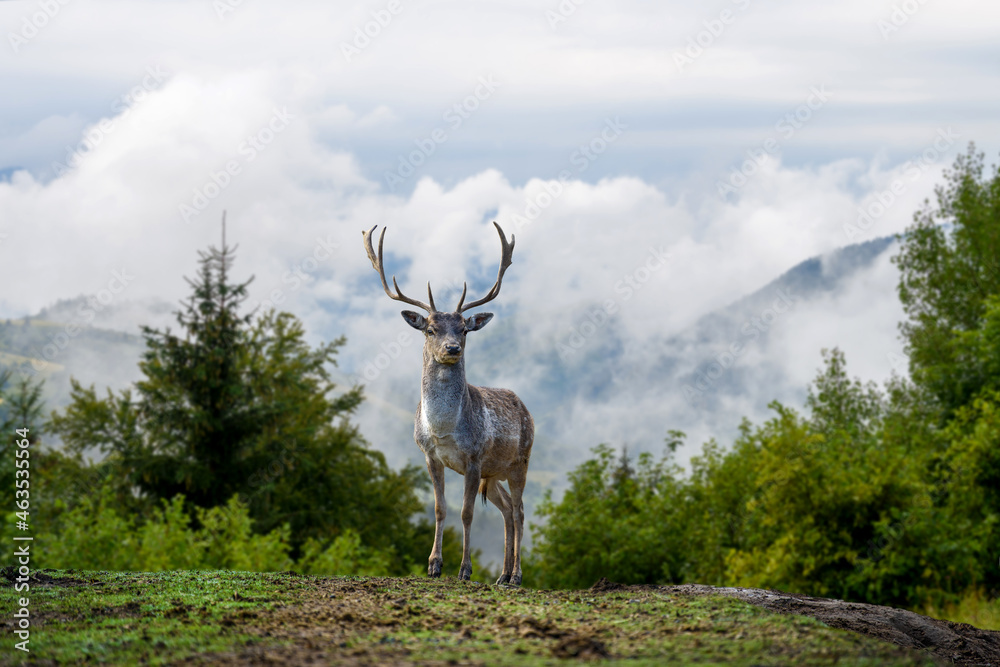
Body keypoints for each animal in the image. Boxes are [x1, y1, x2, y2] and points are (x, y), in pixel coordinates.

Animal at [364, 223, 536, 584]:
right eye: (430, 329)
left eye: (464, 330)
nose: (452, 348)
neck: (443, 430)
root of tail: (525, 407)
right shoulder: (430, 455)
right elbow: (440, 508)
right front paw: (433, 565)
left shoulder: (473, 457)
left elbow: (467, 513)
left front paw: (465, 569)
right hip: (494, 472)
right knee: (506, 510)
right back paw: (501, 576)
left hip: (521, 460)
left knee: (519, 510)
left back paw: (516, 576)